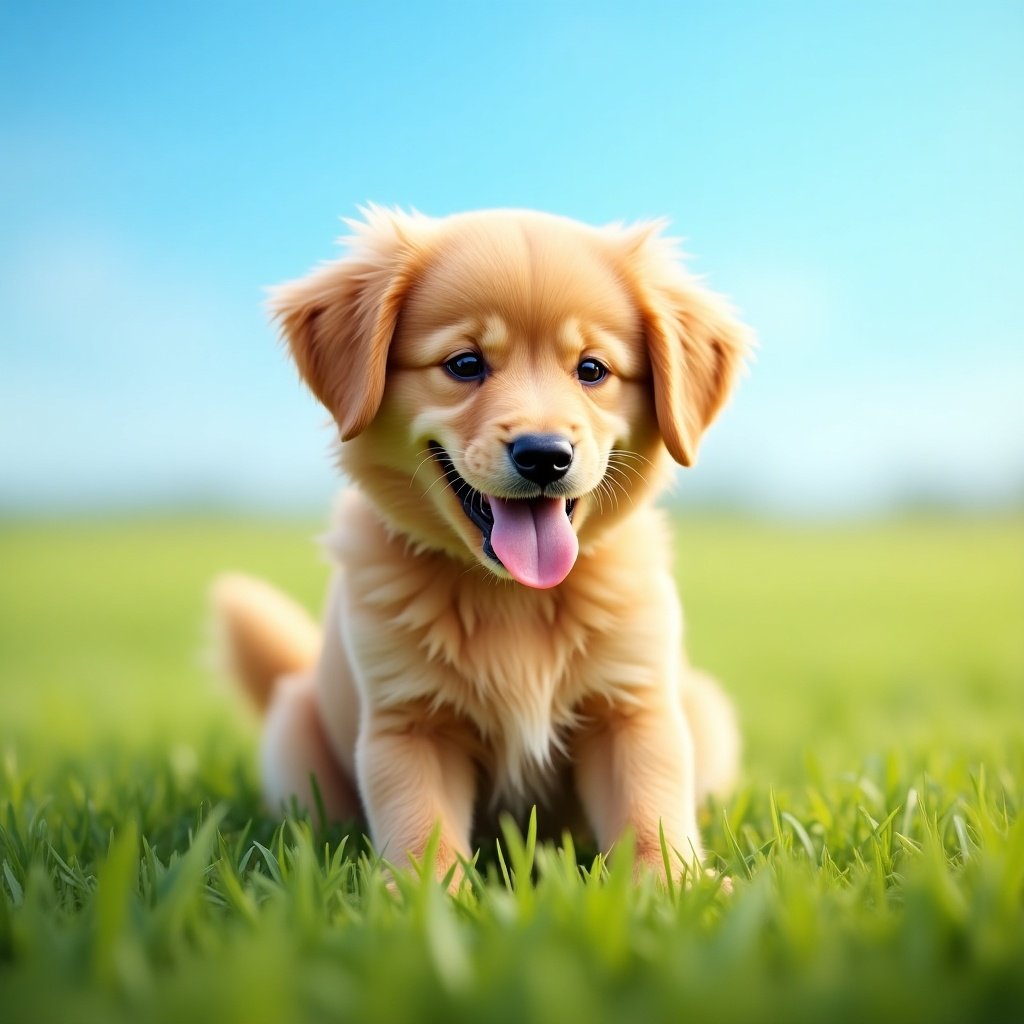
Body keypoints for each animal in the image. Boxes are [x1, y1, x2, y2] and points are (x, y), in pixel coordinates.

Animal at [211, 205, 749, 880]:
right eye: (465, 365)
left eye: (592, 370)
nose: (545, 455)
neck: (513, 595)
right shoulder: (409, 721)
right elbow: (422, 831)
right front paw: (419, 897)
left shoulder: (633, 707)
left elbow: (648, 810)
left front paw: (673, 887)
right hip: (292, 737)